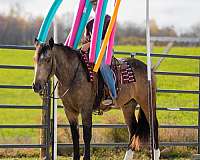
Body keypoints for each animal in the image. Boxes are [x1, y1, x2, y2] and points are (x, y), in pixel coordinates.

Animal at [32, 38, 161, 159]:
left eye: (48, 59)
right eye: (35, 59)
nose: (36, 85)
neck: (73, 75)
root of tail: (148, 68)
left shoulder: (86, 109)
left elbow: (87, 135)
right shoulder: (70, 111)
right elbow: (75, 136)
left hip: (147, 101)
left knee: (154, 124)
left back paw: (156, 154)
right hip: (128, 105)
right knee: (133, 128)